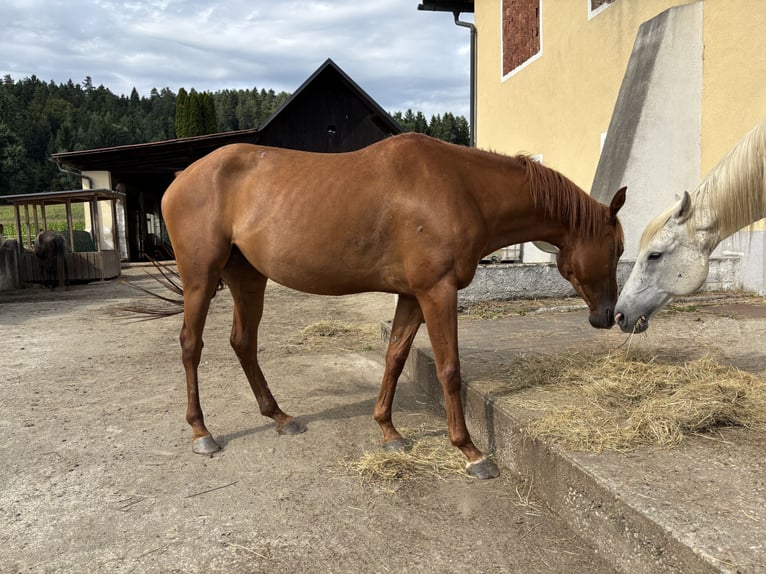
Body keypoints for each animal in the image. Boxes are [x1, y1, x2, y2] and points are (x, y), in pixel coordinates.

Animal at [162, 132, 627, 479]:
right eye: (617, 247)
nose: (609, 316)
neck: (462, 186)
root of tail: (183, 178)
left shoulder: (412, 295)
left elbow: (395, 355)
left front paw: (388, 430)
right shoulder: (437, 291)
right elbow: (449, 369)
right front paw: (470, 451)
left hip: (248, 277)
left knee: (243, 342)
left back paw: (279, 416)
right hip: (201, 278)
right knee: (191, 346)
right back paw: (202, 432)